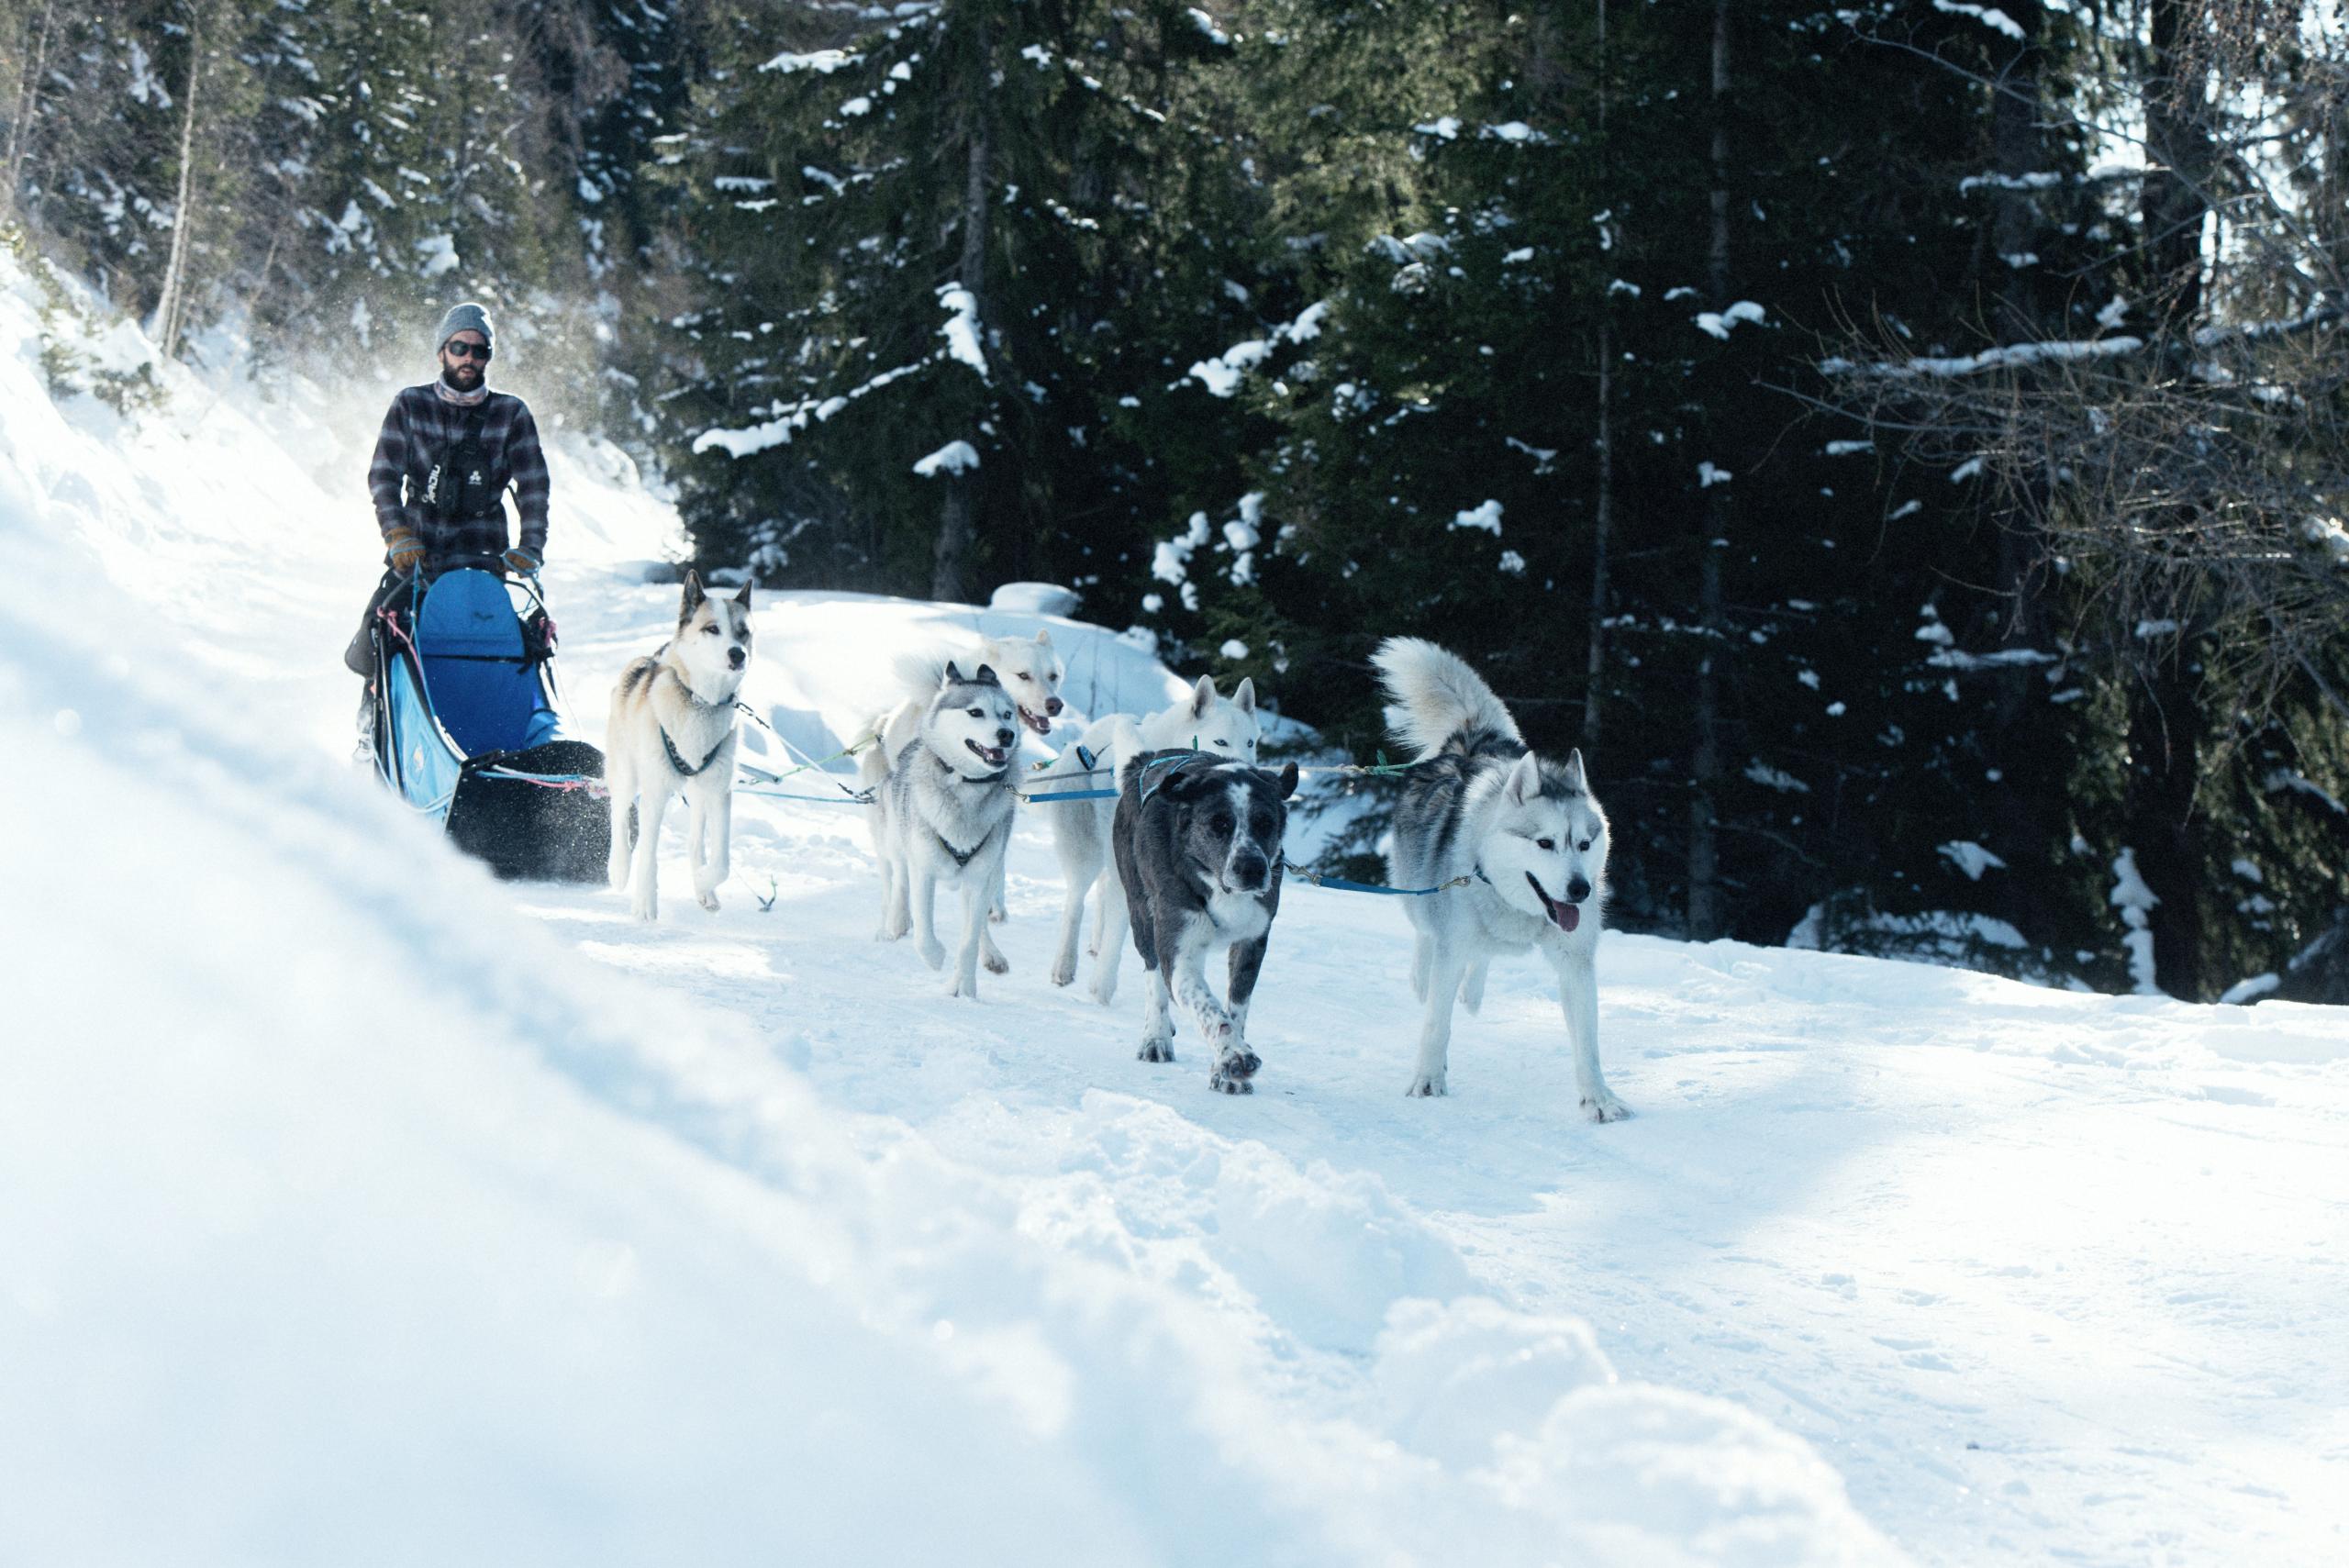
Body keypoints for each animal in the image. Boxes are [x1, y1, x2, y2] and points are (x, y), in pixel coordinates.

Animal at [874, 657, 1019, 999]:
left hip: (988, 872)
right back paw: (896, 921)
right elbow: (924, 931)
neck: (967, 787)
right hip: (896, 839)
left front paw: (963, 988)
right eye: (976, 712)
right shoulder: (924, 869)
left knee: (979, 924)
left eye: (1007, 714)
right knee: (898, 878)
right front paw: (935, 956)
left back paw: (991, 955)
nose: (1006, 734)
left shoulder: (980, 880)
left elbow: (968, 942)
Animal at [1099, 746, 1306, 1089]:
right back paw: (1156, 1037)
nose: (1252, 868)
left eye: (1265, 822)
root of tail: (1146, 758)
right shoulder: (1179, 944)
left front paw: (1226, 1069)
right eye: (1219, 823)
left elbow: (1235, 1009)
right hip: (1141, 912)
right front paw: (1235, 1055)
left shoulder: (1252, 942)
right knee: (1154, 975)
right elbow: (1206, 1006)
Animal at [1372, 628, 1625, 1121]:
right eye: (1545, 843)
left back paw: (1473, 990)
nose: (1580, 890)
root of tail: (1472, 736)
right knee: (1426, 936)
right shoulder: (1452, 945)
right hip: (1417, 894)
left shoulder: (1575, 962)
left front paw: (1598, 1099)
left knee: (1482, 956)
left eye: (1584, 845)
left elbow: (1588, 1044)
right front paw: (1428, 1081)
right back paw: (1422, 976)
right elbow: (1436, 1025)